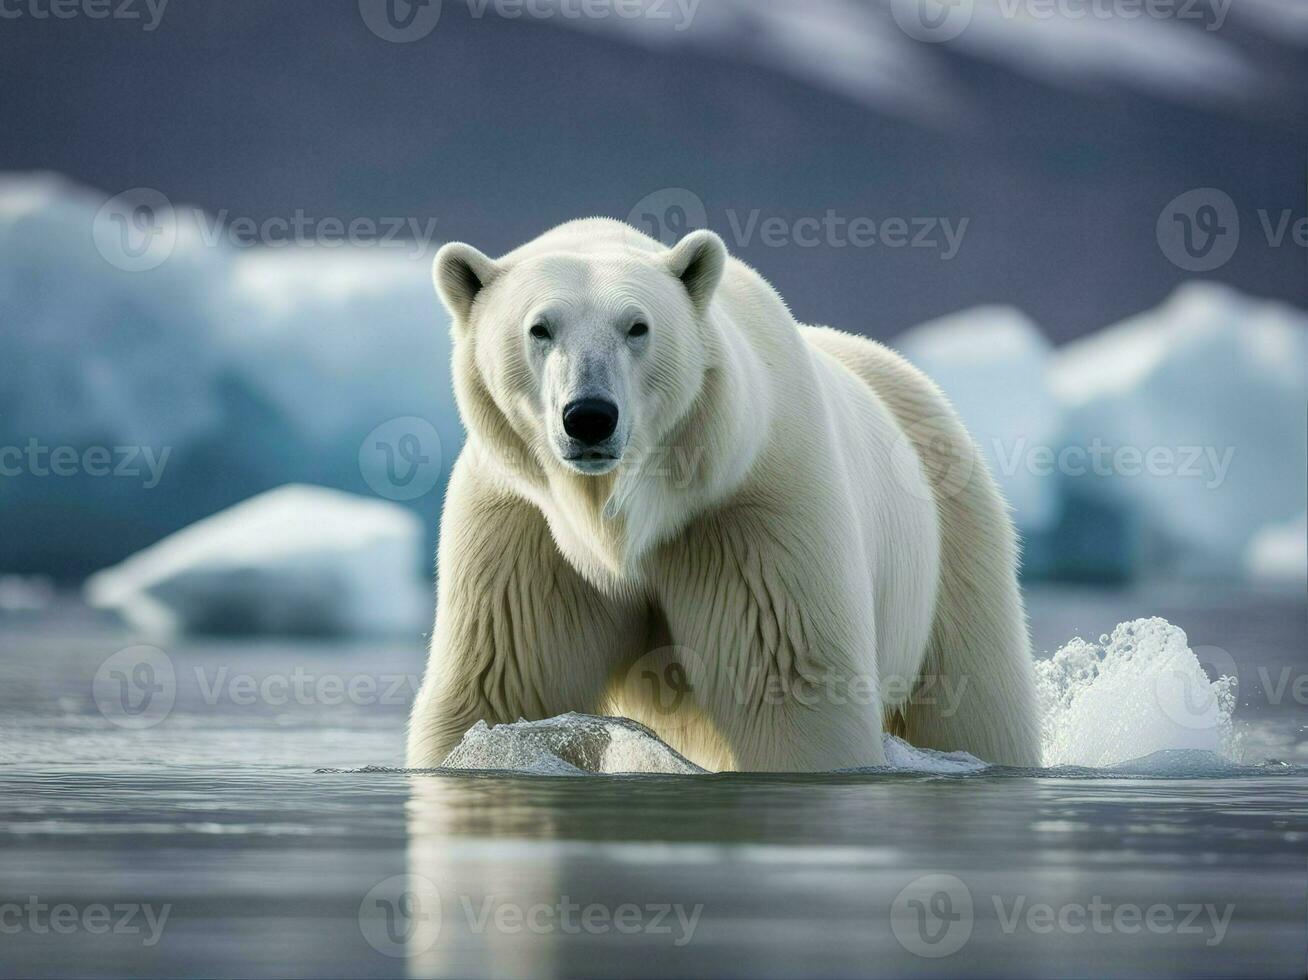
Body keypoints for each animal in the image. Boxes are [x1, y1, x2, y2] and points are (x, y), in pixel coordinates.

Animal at [408, 219, 1041, 774]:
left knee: (976, 697)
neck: (618, 519)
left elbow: (789, 683)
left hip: (955, 534)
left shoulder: (750, 511)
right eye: (540, 328)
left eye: (637, 326)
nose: (589, 416)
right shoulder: (522, 530)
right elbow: (504, 684)